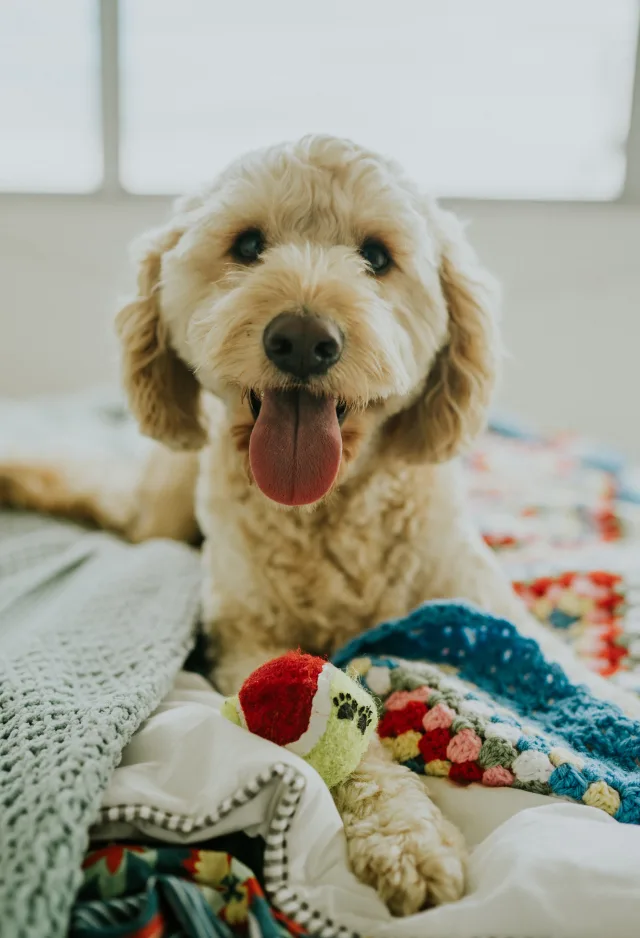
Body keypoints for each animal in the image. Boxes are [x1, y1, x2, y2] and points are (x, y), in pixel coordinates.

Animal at [2, 137, 636, 916]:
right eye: (247, 245)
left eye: (377, 256)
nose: (303, 339)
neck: (328, 512)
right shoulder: (250, 643)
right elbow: (354, 750)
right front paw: (407, 834)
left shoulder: (495, 611)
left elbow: (588, 682)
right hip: (158, 514)